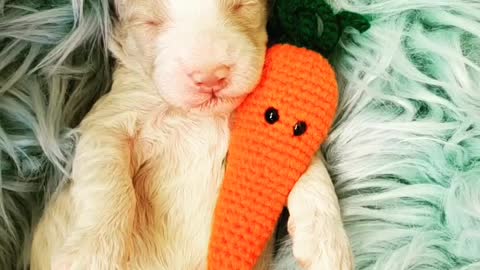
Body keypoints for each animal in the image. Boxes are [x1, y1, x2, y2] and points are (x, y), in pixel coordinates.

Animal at [30, 0, 352, 268]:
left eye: (241, 5)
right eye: (150, 22)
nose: (210, 76)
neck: (198, 116)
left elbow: (308, 166)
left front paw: (327, 241)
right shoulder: (109, 120)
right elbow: (108, 183)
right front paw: (92, 253)